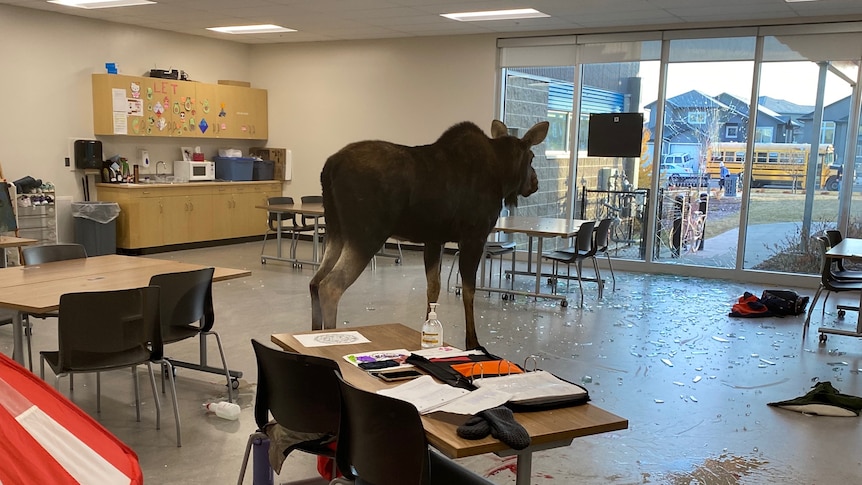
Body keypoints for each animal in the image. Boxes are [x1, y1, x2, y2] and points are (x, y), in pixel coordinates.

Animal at [314, 120, 552, 348]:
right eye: (531, 157)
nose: (535, 183)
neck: (502, 177)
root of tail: (329, 167)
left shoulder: (434, 239)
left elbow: (433, 288)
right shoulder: (474, 236)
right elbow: (469, 290)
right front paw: (472, 342)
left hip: (336, 231)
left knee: (315, 281)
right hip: (366, 235)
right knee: (330, 286)